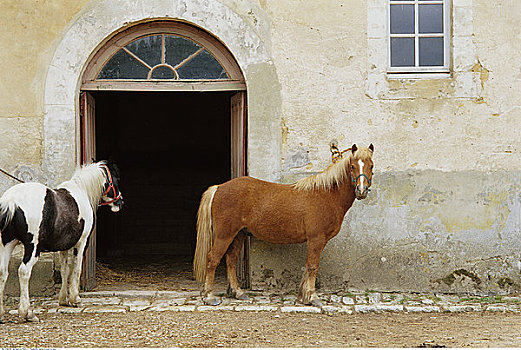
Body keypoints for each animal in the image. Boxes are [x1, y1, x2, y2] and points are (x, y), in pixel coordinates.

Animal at [0, 160, 123, 322]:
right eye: (115, 180)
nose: (120, 203)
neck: (81, 191)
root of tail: (12, 200)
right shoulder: (82, 243)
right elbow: (76, 269)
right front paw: (75, 299)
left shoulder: (63, 246)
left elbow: (65, 270)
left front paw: (64, 299)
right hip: (32, 247)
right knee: (24, 271)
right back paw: (27, 312)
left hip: (7, 244)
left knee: (3, 272)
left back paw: (1, 314)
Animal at [193, 144, 372, 304]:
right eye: (352, 166)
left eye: (371, 166)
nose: (361, 190)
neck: (326, 194)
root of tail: (219, 188)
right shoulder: (316, 239)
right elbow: (313, 267)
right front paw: (312, 297)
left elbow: (308, 266)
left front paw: (303, 296)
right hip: (225, 235)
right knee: (213, 259)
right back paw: (209, 296)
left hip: (239, 234)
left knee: (230, 260)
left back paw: (239, 293)